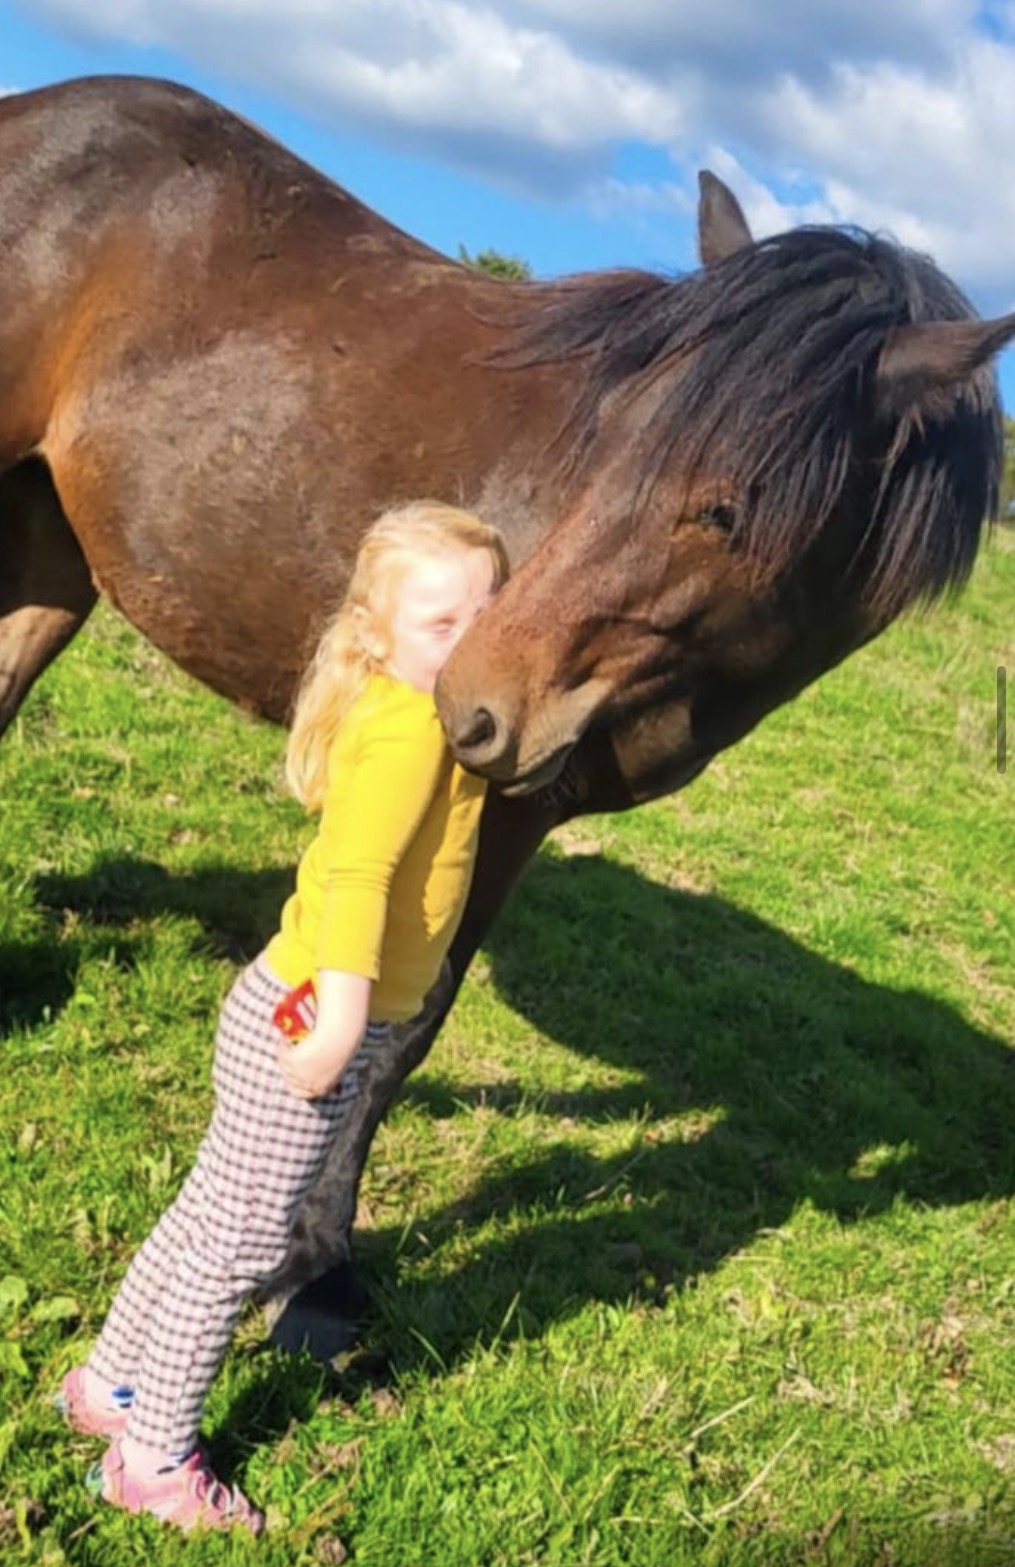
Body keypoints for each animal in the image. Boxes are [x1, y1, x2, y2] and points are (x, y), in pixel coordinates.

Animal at [1, 74, 1012, 1350]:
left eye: (725, 509)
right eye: (610, 434)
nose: (469, 699)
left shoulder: (519, 806)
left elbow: (412, 1023)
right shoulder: (481, 797)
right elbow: (394, 1018)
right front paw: (318, 1278)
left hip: (50, 553)